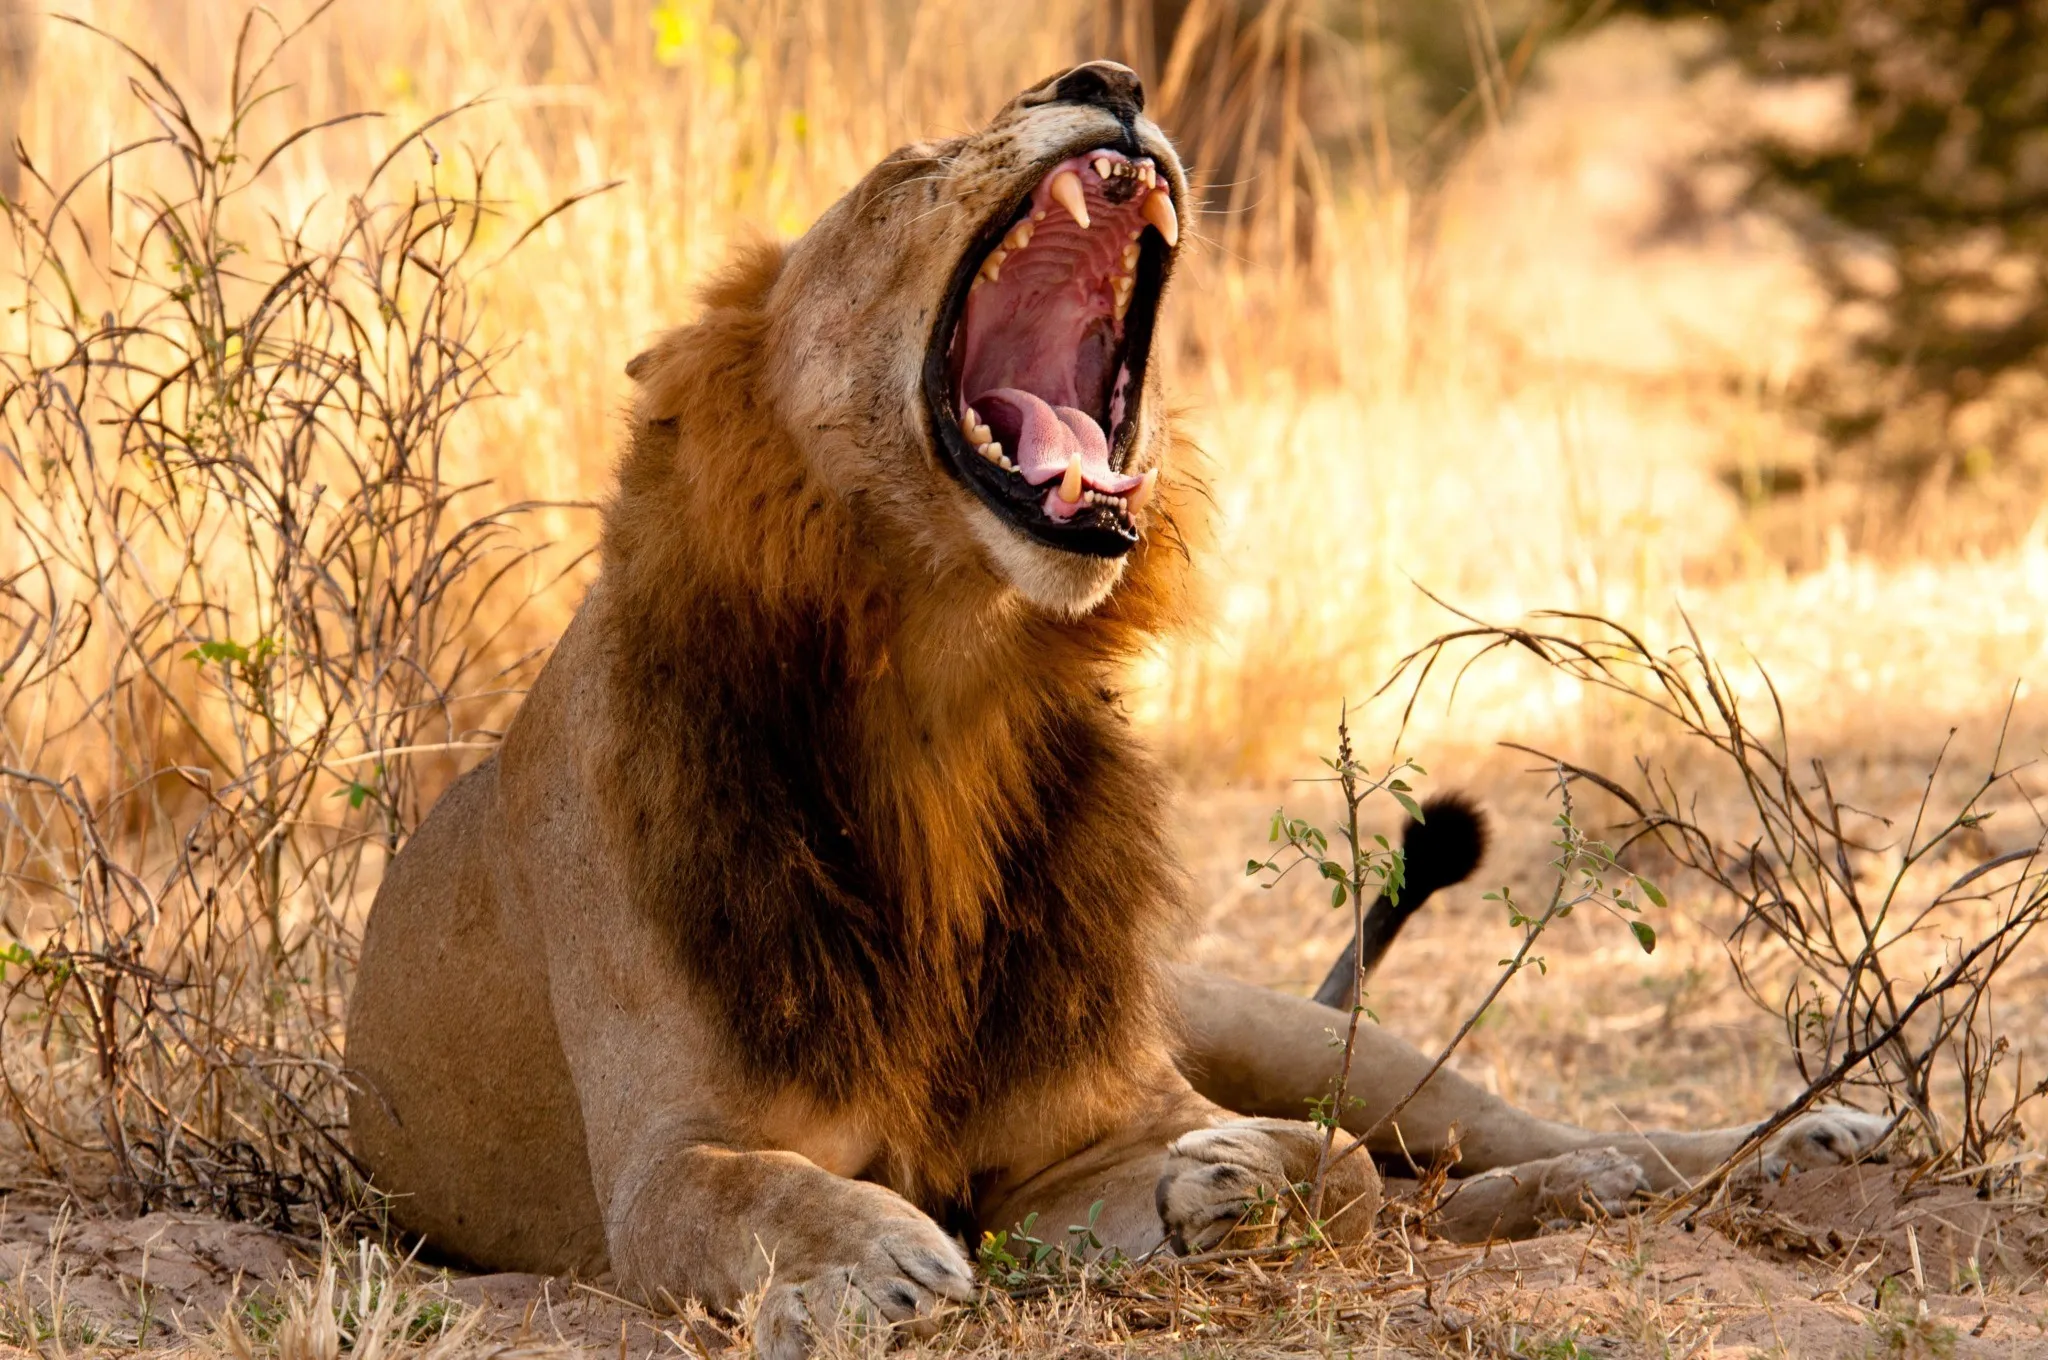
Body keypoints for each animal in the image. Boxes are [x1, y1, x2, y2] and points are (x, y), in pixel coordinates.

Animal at [345, 62, 1889, 1359]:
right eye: (905, 173)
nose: (1108, 78)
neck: (940, 693)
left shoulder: (1088, 1133)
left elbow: (1325, 1166)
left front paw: (1234, 1176)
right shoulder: (661, 1155)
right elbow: (739, 1193)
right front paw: (873, 1263)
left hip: (1287, 1028)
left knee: (1470, 1133)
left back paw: (1770, 1142)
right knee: (1440, 1193)